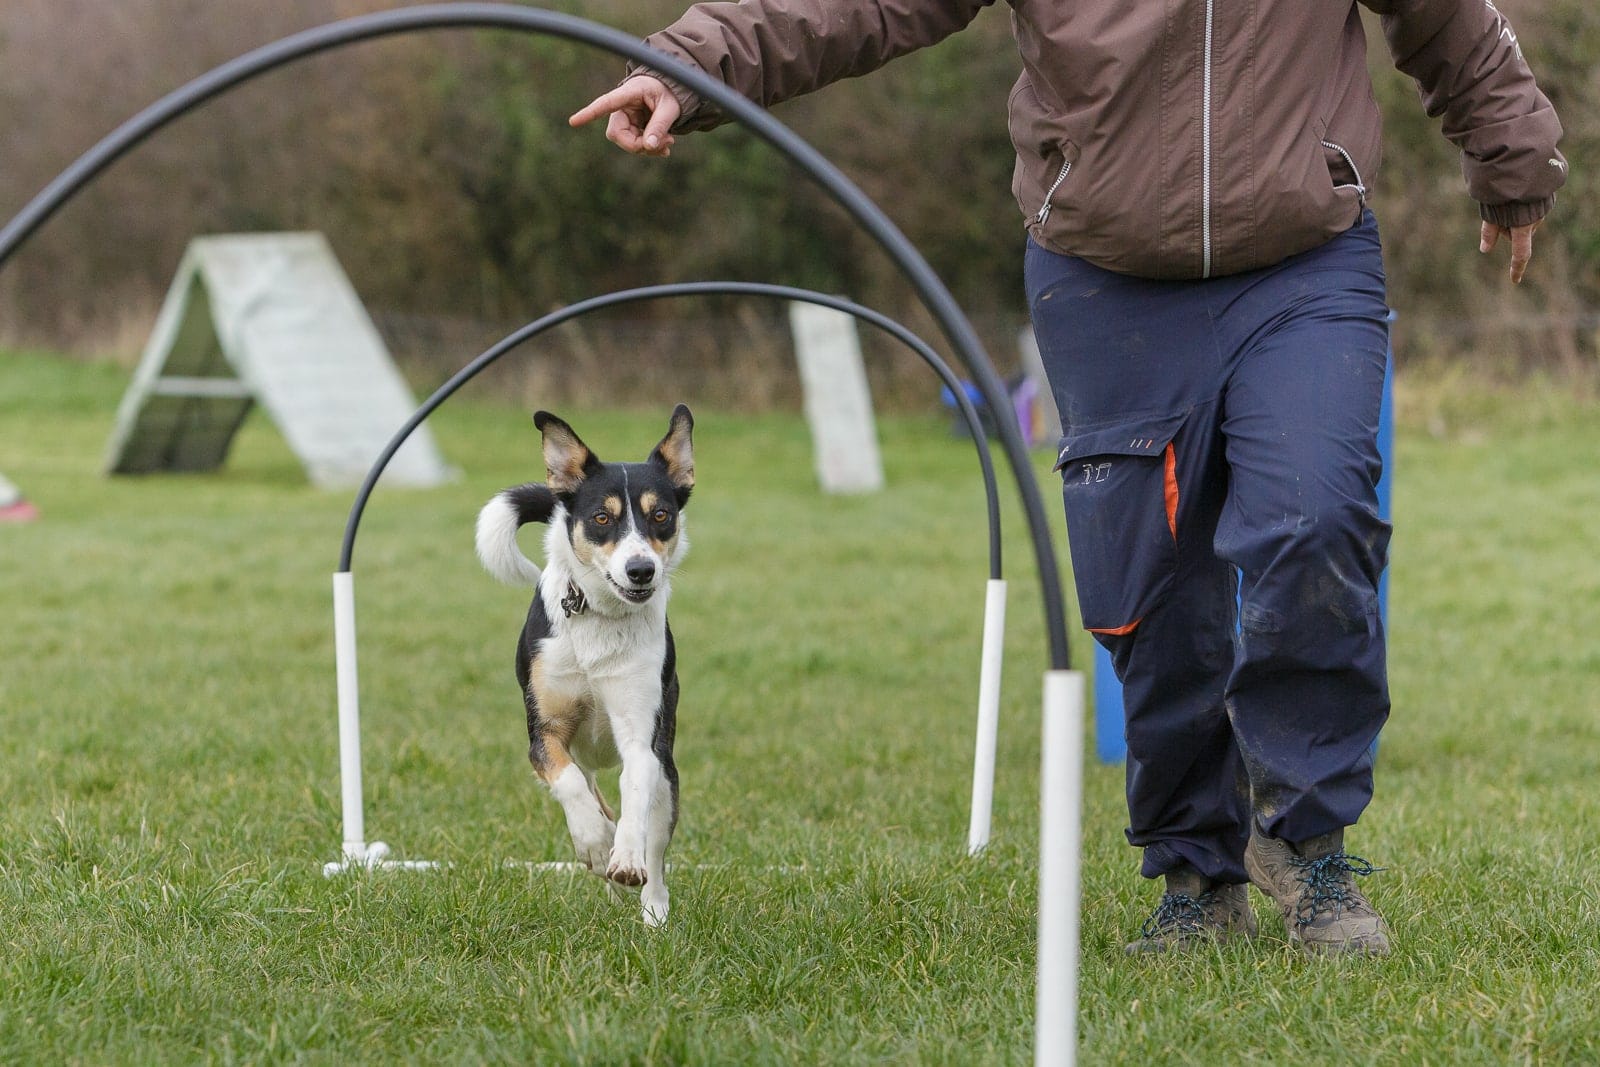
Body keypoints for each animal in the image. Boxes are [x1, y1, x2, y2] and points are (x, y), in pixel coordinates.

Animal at [470, 404, 691, 921]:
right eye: (601, 517)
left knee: (655, 842)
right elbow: (569, 784)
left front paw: (624, 857)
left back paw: (652, 909)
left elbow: (634, 797)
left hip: (668, 772)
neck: (599, 618)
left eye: (660, 515)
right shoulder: (544, 733)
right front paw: (594, 844)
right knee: (589, 790)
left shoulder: (641, 734)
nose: (640, 570)